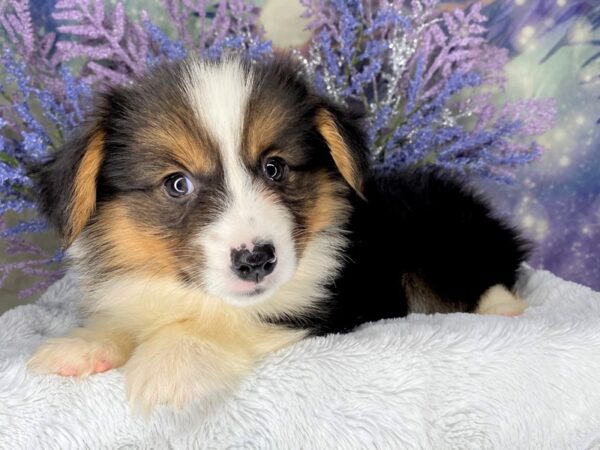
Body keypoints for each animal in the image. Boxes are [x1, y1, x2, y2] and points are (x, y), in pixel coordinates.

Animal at [27, 55, 528, 412]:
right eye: (177, 184)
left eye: (274, 167)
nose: (256, 261)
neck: (192, 292)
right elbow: (122, 322)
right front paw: (79, 347)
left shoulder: (315, 311)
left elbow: (230, 324)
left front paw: (169, 365)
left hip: (440, 234)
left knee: (491, 273)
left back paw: (503, 308)